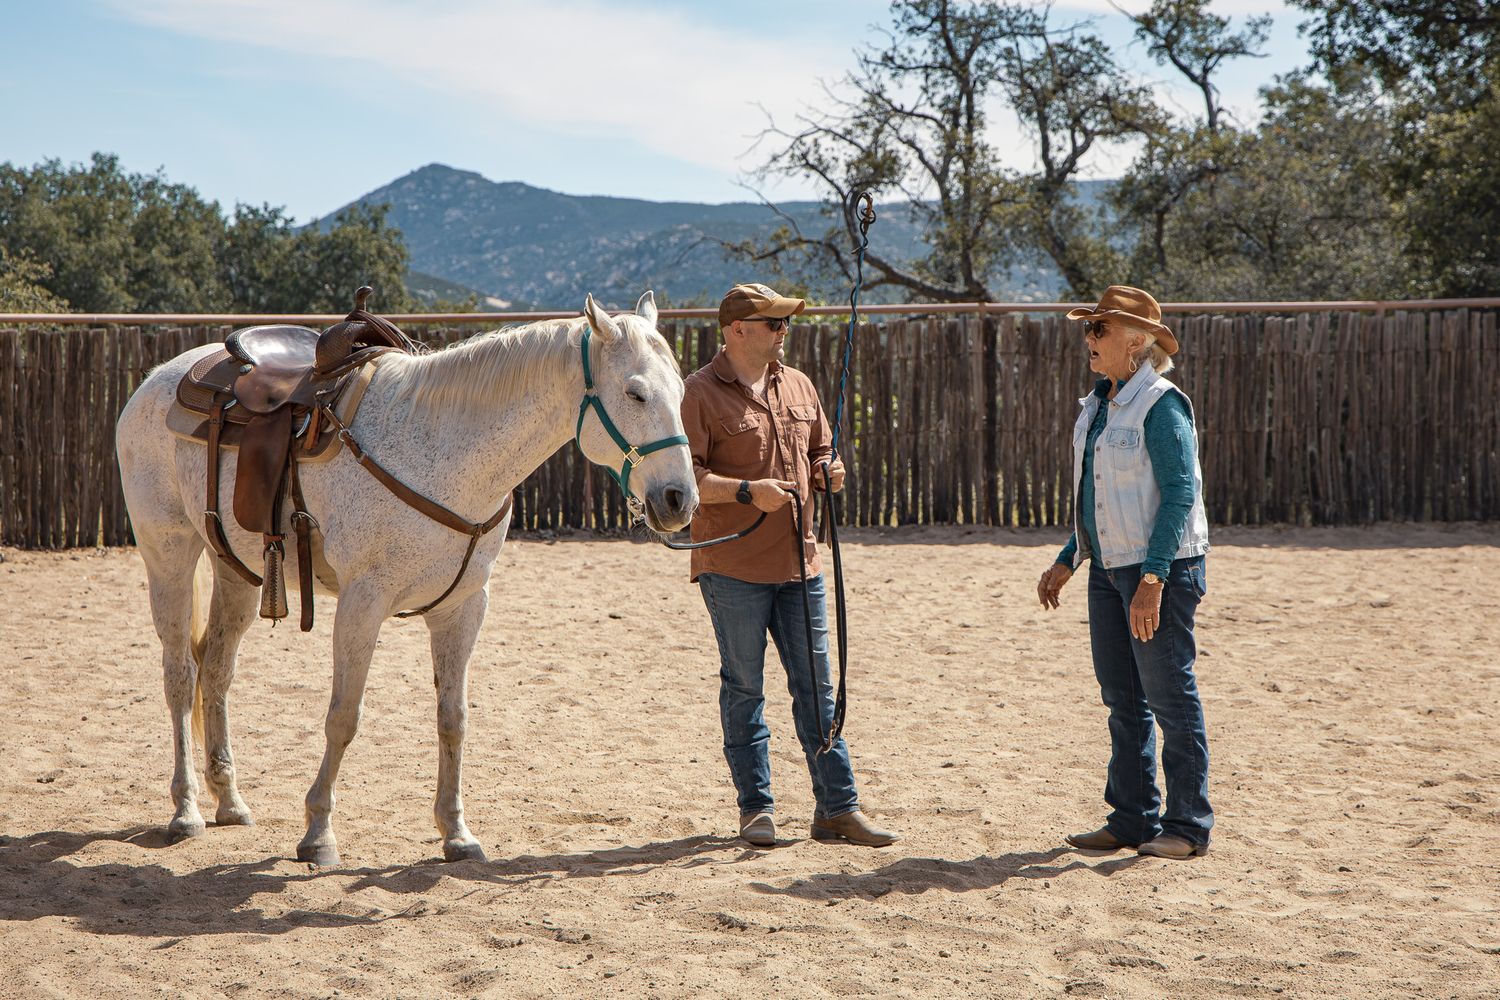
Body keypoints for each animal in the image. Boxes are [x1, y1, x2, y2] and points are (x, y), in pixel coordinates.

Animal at [115, 291, 696, 865]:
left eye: (682, 391)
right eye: (636, 394)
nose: (678, 500)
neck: (441, 452)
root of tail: (160, 377)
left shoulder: (463, 607)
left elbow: (453, 717)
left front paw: (456, 832)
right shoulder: (362, 603)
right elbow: (343, 717)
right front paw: (318, 833)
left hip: (237, 571)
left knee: (216, 671)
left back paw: (230, 800)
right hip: (168, 554)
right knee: (180, 676)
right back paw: (186, 810)